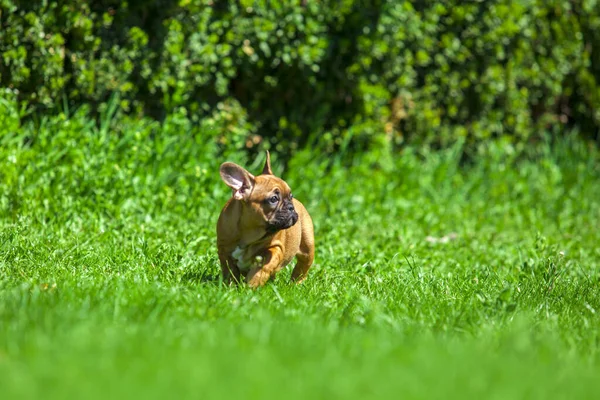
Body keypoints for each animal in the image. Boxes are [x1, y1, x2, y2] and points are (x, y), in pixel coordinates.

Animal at [218, 151, 316, 288]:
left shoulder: (275, 248)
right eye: (273, 199)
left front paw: (251, 285)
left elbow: (262, 268)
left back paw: (296, 283)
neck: (248, 233)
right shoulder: (224, 250)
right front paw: (231, 286)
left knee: (303, 265)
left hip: (307, 246)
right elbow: (230, 270)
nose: (291, 207)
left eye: (290, 196)